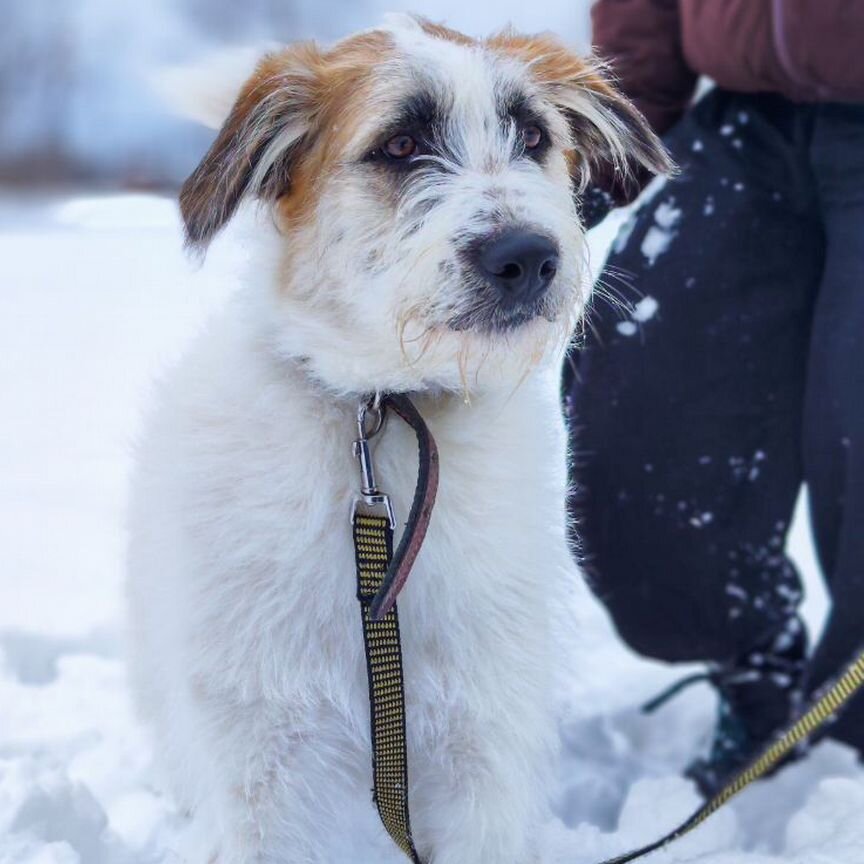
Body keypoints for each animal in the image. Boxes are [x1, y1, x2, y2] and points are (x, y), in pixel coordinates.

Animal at [126, 15, 668, 864]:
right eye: (402, 144)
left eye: (533, 135)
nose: (527, 257)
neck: (385, 416)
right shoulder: (266, 774)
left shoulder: (482, 757)